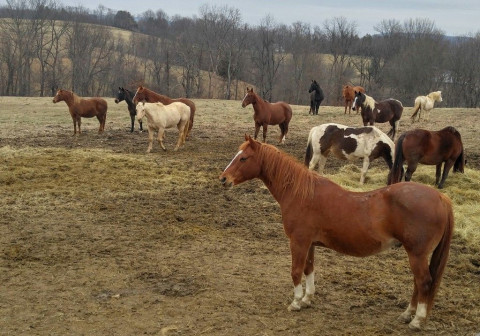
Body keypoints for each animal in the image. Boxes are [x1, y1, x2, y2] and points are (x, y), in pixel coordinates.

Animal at [221, 135, 454, 332]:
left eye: (243, 158)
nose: (223, 179)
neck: (301, 194)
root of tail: (440, 198)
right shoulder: (310, 243)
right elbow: (309, 269)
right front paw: (307, 299)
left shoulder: (298, 241)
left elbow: (296, 271)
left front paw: (295, 302)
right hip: (417, 255)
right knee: (418, 283)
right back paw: (407, 315)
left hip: (417, 254)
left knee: (424, 283)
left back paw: (416, 320)